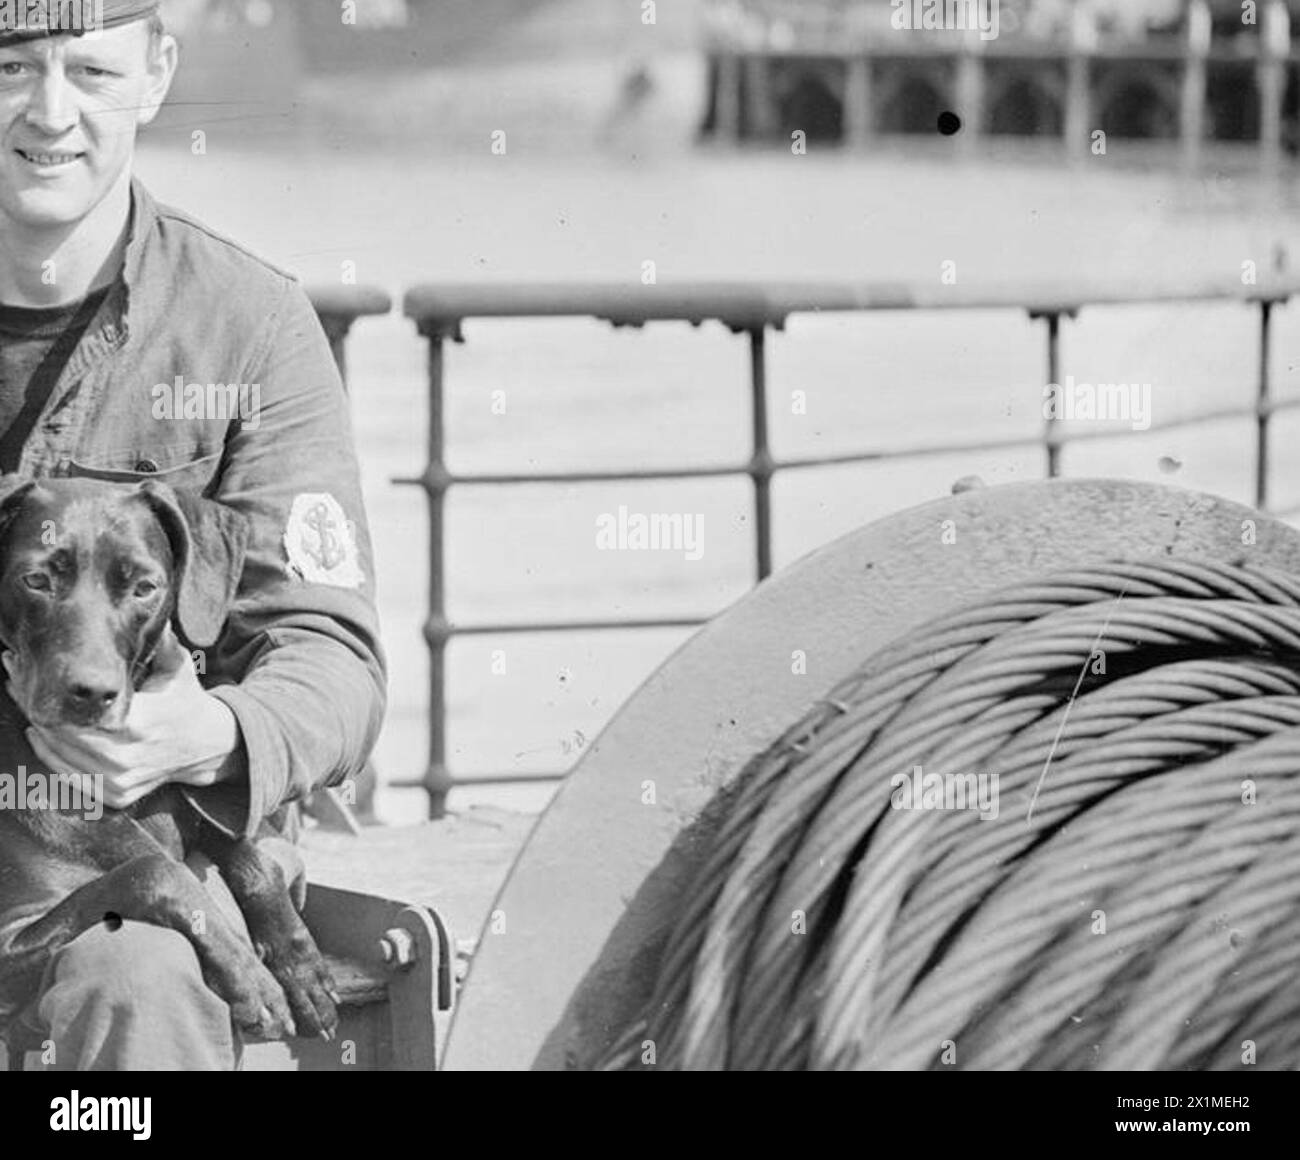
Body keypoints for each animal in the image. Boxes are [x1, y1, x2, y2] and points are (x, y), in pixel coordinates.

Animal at [0, 475, 340, 1045]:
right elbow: (153, 868)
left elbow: (250, 853)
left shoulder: (193, 799)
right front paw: (252, 978)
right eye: (36, 579)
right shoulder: (9, 940)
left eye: (144, 587)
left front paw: (300, 966)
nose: (91, 694)